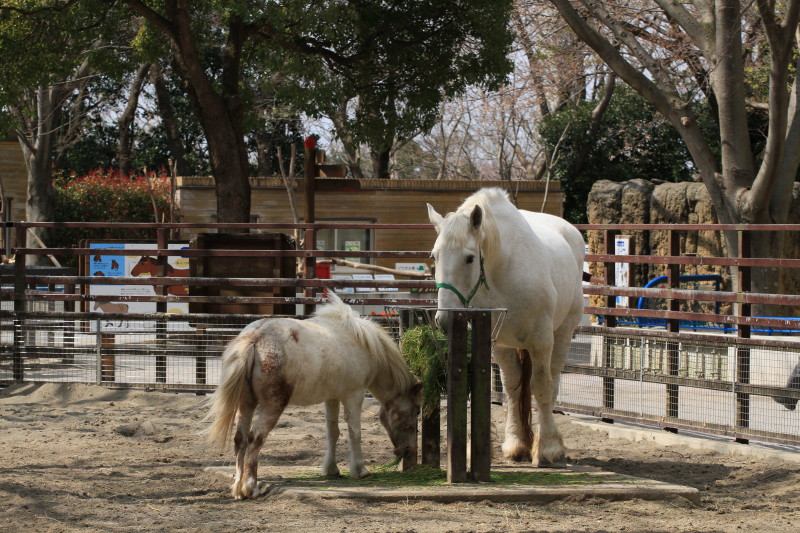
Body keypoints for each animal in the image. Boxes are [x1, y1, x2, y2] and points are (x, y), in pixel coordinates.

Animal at [203, 290, 422, 498]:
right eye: (417, 411)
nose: (407, 451)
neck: (363, 344)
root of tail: (255, 338)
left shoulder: (332, 398)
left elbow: (332, 432)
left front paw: (331, 469)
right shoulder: (354, 396)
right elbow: (355, 433)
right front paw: (360, 470)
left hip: (246, 404)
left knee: (240, 440)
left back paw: (238, 488)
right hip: (271, 406)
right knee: (254, 438)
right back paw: (251, 487)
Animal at [428, 187, 584, 466]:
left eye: (469, 258)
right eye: (434, 256)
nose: (444, 318)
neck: (502, 271)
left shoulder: (541, 340)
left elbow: (541, 387)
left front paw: (548, 448)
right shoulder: (496, 341)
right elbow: (510, 388)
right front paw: (515, 443)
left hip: (563, 333)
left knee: (553, 381)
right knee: (514, 386)